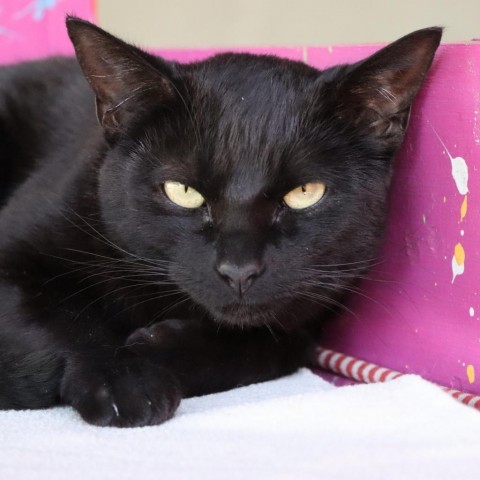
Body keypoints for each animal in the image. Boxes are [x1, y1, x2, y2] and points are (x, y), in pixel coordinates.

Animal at [0, 16, 442, 426]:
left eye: (305, 193)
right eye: (182, 191)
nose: (239, 269)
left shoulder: (304, 323)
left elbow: (264, 347)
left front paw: (154, 349)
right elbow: (70, 319)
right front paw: (126, 383)